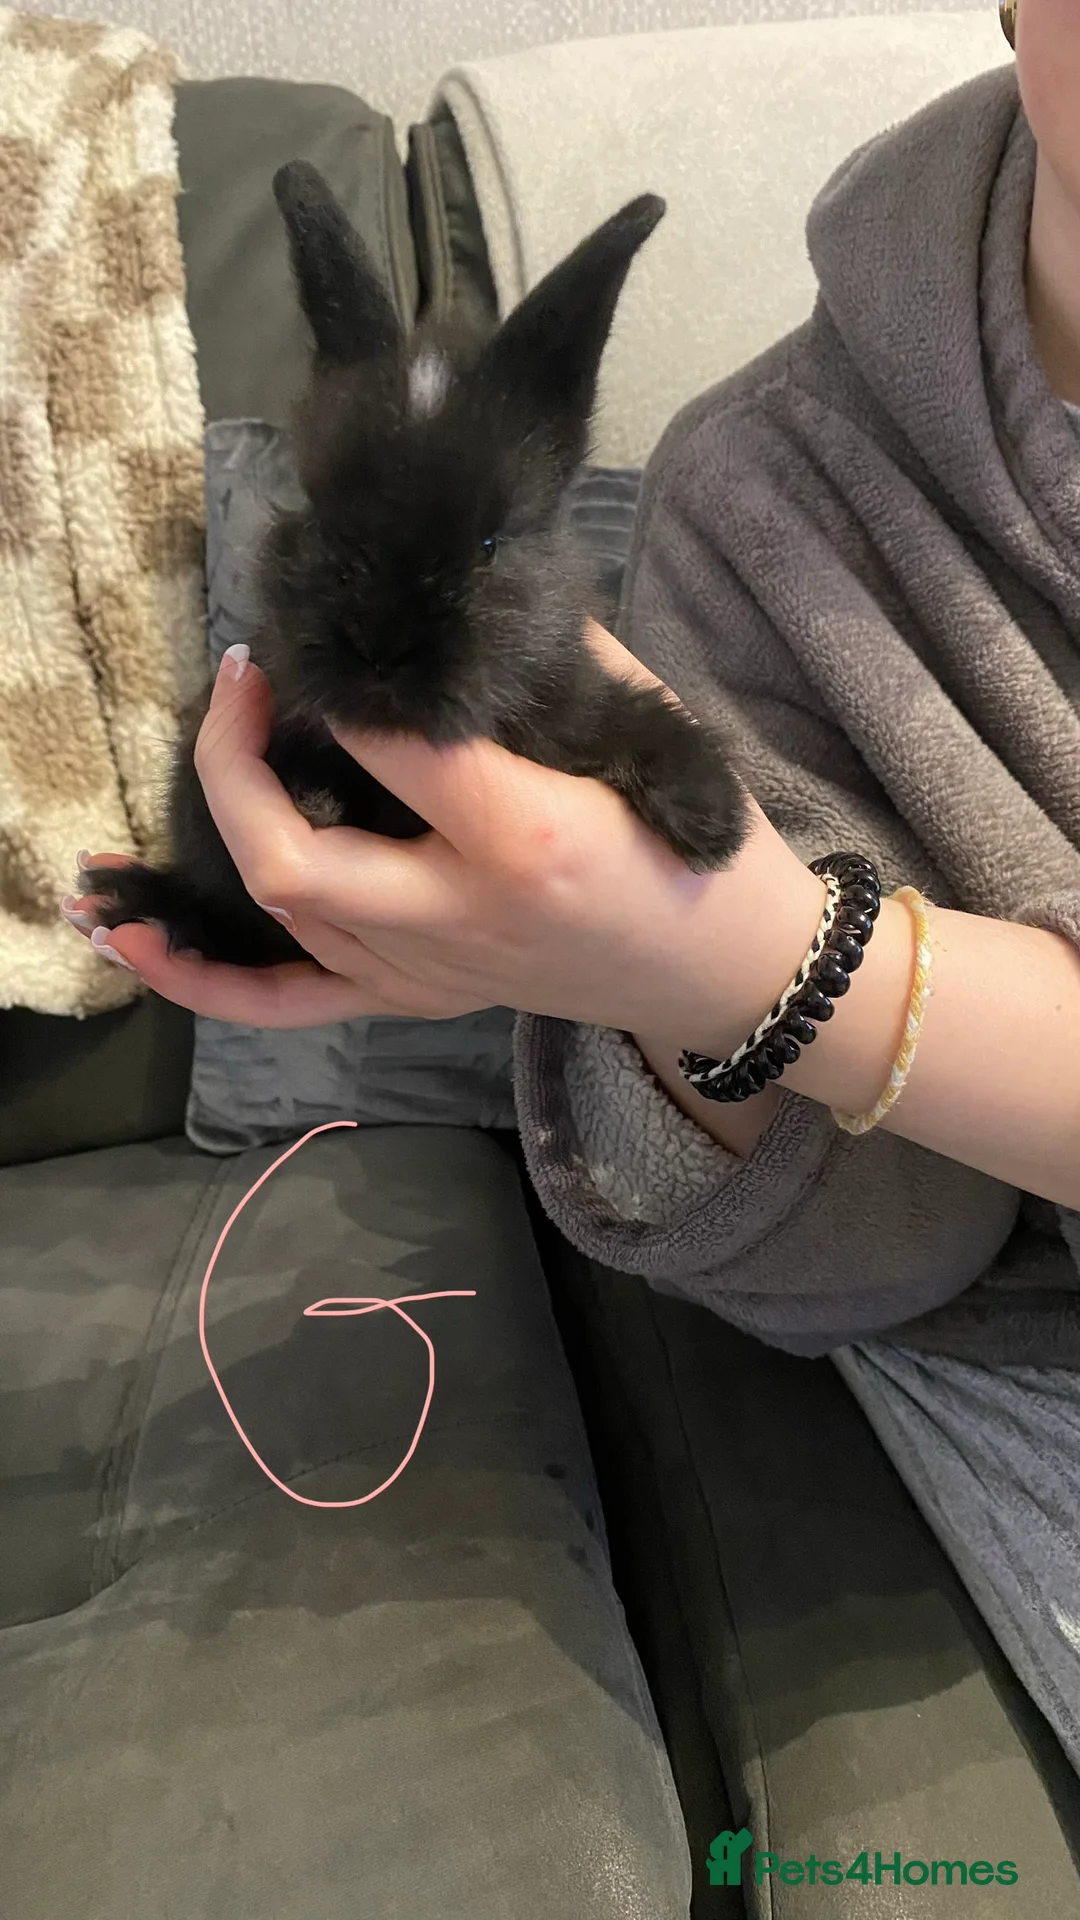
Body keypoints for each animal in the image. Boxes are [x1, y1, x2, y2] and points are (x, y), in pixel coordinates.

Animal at [78, 160, 747, 967]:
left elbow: (635, 719)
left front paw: (712, 821)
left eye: (490, 544)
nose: (380, 647)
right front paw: (313, 802)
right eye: (321, 518)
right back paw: (142, 905)